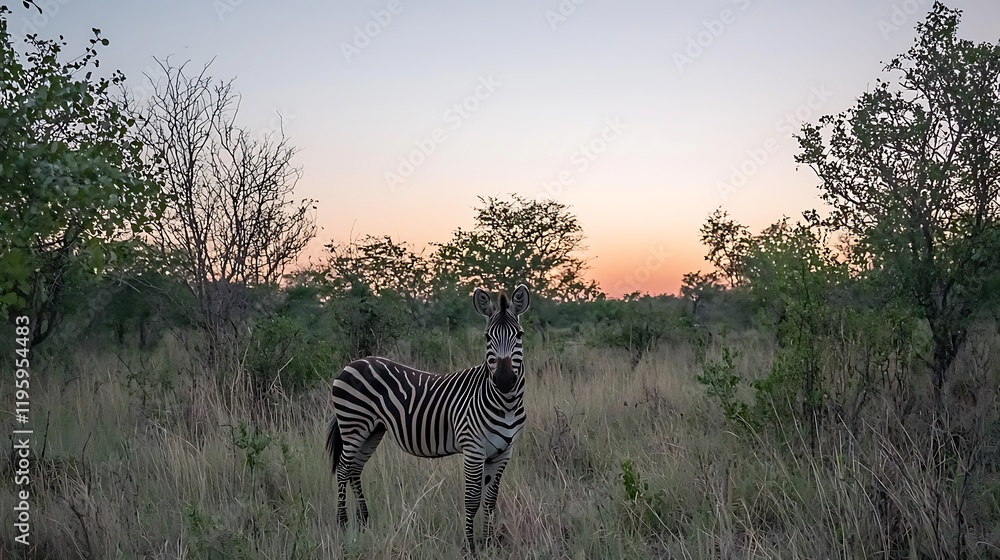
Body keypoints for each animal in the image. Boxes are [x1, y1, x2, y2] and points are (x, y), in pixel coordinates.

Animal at [326, 284, 530, 554]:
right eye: (487, 337)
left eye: (519, 334)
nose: (505, 380)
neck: (505, 403)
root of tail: (353, 364)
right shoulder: (473, 450)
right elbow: (472, 499)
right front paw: (470, 547)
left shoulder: (502, 452)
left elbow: (490, 500)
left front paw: (487, 544)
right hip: (353, 425)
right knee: (342, 469)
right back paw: (343, 524)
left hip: (373, 431)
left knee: (354, 469)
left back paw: (363, 521)